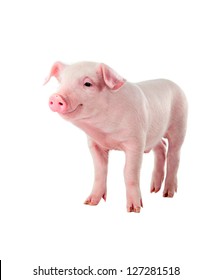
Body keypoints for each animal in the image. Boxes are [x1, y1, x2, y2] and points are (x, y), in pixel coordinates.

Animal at [44, 61, 187, 212]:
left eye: (88, 84)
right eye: (60, 82)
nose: (56, 97)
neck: (105, 132)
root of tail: (175, 85)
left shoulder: (136, 141)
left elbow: (129, 172)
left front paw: (134, 209)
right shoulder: (94, 143)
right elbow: (99, 171)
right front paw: (90, 203)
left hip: (180, 124)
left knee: (174, 155)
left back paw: (168, 194)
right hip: (153, 134)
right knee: (161, 147)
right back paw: (153, 190)